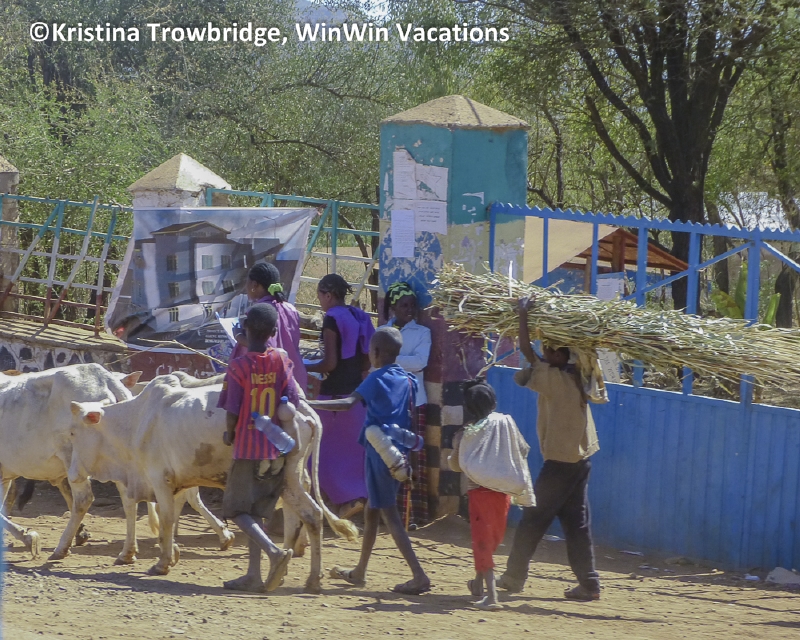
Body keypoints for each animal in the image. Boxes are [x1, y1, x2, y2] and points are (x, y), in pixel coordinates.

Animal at [68, 373, 358, 593]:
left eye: (72, 432)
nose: (72, 475)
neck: (136, 421)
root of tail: (305, 410)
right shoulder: (178, 482)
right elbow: (171, 517)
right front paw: (171, 553)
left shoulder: (160, 479)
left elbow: (166, 520)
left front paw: (162, 563)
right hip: (289, 479)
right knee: (311, 514)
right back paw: (303, 574)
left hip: (286, 478)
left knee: (308, 513)